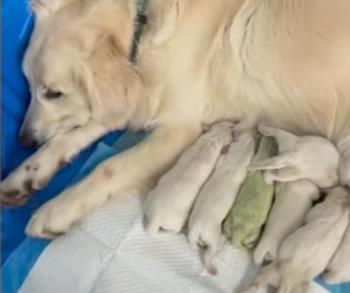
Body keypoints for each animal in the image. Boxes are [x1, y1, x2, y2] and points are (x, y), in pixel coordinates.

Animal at [0, 0, 350, 237]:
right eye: (29, 85)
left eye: (54, 93)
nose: (23, 139)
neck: (143, 26)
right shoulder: (136, 99)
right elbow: (73, 134)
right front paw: (26, 174)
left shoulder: (180, 127)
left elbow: (110, 167)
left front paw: (58, 209)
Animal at [187, 132, 256, 274]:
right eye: (253, 148)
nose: (252, 136)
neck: (234, 163)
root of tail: (197, 227)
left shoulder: (223, 162)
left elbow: (219, 161)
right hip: (212, 235)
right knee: (209, 252)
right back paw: (212, 267)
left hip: (192, 225)